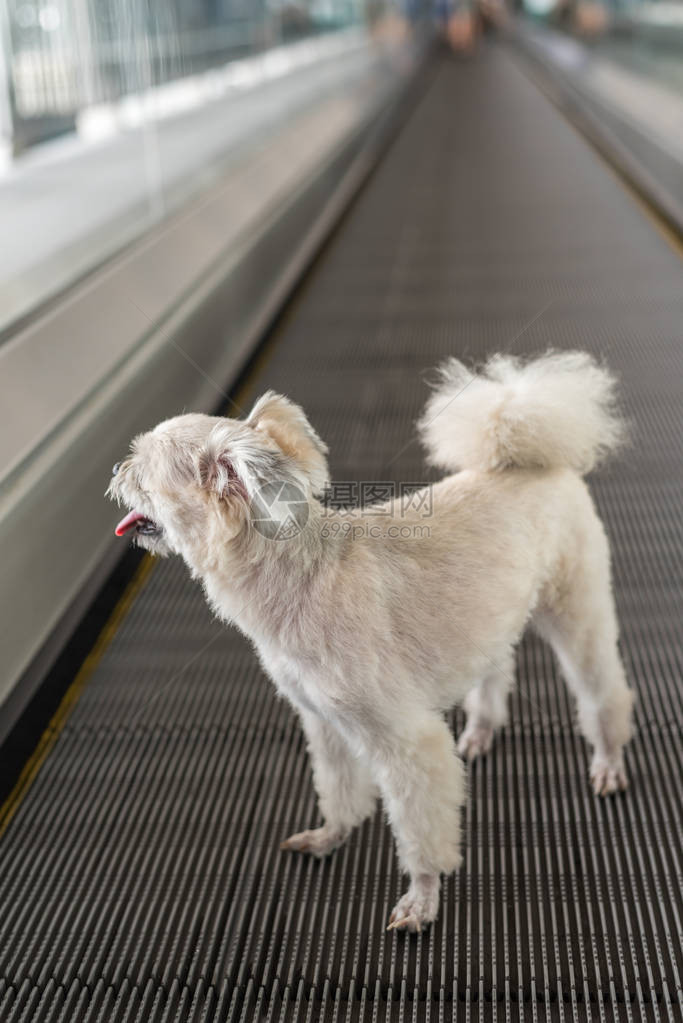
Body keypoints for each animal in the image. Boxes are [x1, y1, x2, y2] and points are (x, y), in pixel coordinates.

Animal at [107, 353, 633, 937]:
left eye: (142, 470)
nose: (115, 472)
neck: (299, 579)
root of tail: (527, 461)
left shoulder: (406, 742)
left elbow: (420, 830)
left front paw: (421, 898)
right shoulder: (326, 723)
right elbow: (340, 790)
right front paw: (329, 837)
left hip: (576, 611)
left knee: (603, 692)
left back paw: (609, 760)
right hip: (496, 613)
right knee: (497, 667)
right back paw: (480, 729)